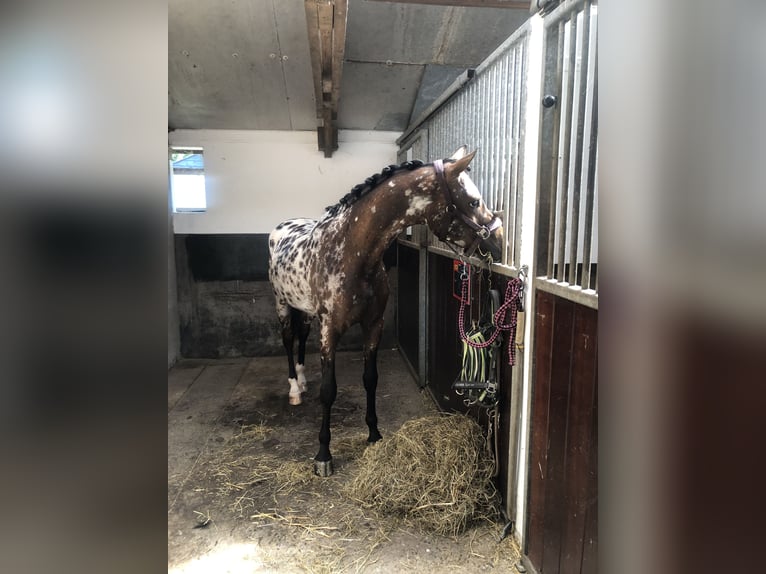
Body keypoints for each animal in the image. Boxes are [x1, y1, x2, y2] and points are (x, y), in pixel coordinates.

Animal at [268, 147, 508, 476]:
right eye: (473, 201)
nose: (500, 241)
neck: (350, 253)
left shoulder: (374, 325)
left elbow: (371, 379)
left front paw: (373, 433)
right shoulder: (330, 330)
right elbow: (328, 390)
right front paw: (323, 455)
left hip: (303, 308)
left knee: (301, 337)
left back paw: (303, 381)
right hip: (282, 305)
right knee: (288, 340)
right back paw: (294, 389)